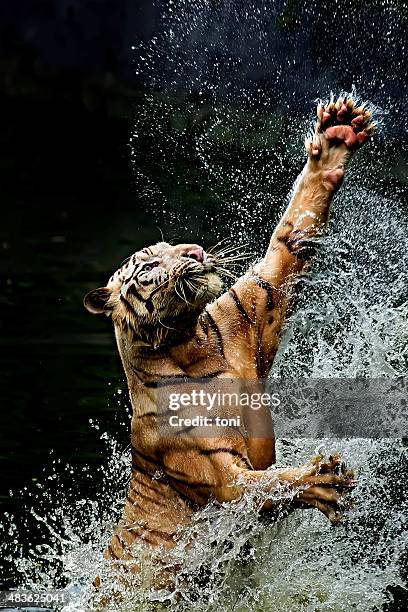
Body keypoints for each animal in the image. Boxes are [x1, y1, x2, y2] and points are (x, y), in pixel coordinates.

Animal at [83, 95, 376, 580]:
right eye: (150, 265)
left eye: (175, 247)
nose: (195, 251)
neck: (191, 343)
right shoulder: (221, 477)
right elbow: (266, 484)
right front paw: (320, 479)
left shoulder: (252, 303)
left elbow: (290, 235)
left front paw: (335, 137)